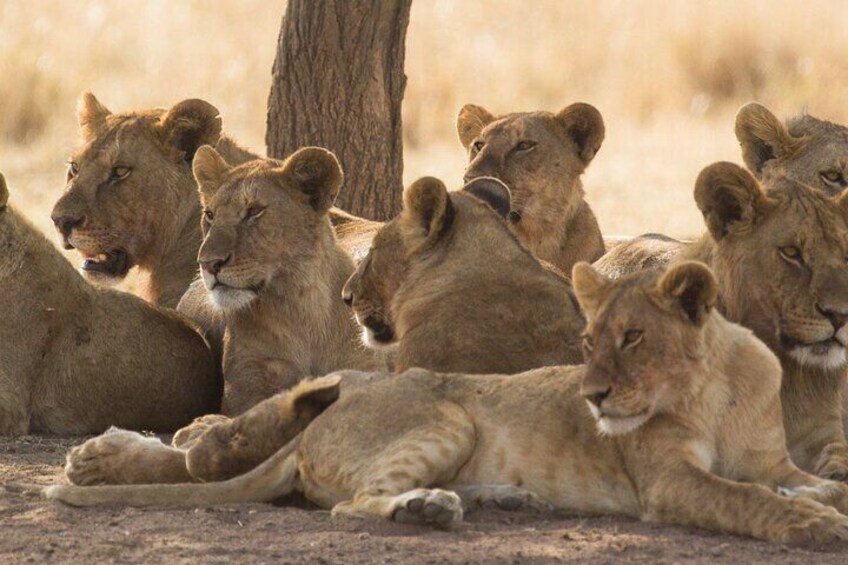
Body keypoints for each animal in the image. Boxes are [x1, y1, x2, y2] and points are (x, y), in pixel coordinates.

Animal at [46, 262, 848, 544]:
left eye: (633, 337)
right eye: (589, 340)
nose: (590, 394)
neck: (715, 389)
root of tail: (316, 434)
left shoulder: (776, 459)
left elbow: (809, 479)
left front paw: (822, 500)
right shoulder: (668, 480)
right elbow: (742, 497)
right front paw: (813, 523)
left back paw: (502, 497)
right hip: (446, 414)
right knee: (348, 502)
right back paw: (426, 509)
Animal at [174, 143, 382, 414]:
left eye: (254, 211)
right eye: (210, 214)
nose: (207, 263)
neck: (303, 305)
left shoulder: (362, 364)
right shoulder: (247, 383)